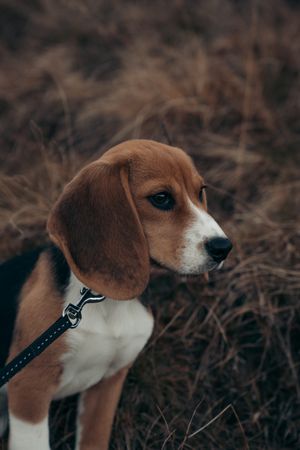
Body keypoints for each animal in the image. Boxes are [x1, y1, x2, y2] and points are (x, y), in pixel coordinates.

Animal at [0, 139, 232, 448]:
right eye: (161, 198)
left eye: (200, 192)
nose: (223, 247)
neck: (104, 301)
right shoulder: (29, 386)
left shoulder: (108, 384)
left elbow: (94, 440)